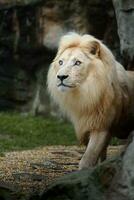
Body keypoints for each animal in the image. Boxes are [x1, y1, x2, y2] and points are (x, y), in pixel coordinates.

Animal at [46, 32, 134, 169]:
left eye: (77, 62)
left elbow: (88, 158)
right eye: (61, 62)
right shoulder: (86, 125)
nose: (60, 77)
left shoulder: (101, 127)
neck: (86, 93)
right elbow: (99, 155)